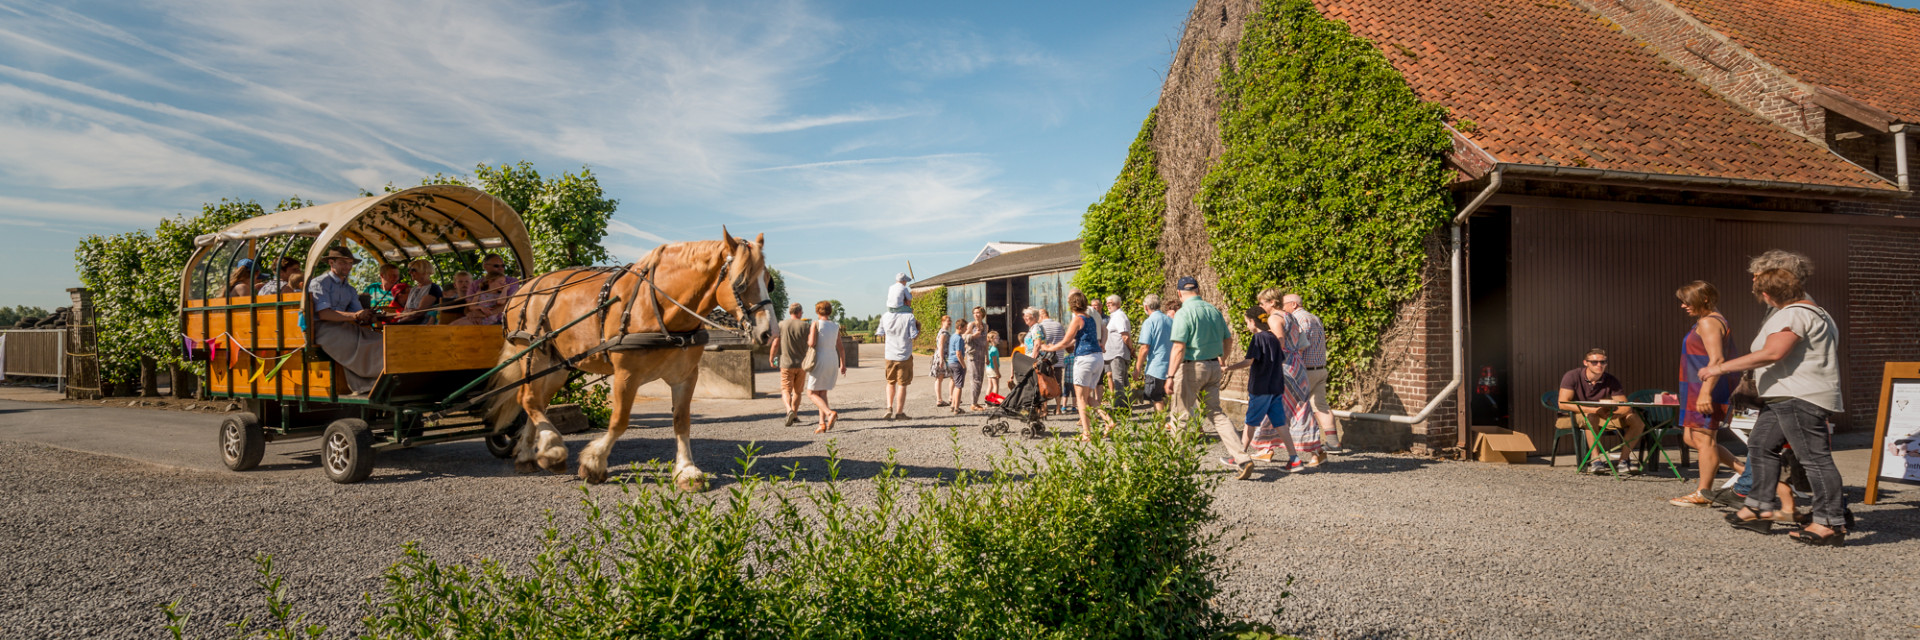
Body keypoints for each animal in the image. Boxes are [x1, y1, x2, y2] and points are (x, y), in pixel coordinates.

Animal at [487, 229, 771, 488]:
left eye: (769, 281)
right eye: (740, 282)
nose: (768, 332)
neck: (661, 308)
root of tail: (523, 288)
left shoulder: (686, 376)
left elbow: (681, 421)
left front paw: (686, 469)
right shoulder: (626, 375)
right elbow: (619, 421)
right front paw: (593, 462)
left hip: (556, 367)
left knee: (535, 402)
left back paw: (530, 454)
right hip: (533, 355)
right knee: (528, 399)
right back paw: (553, 449)